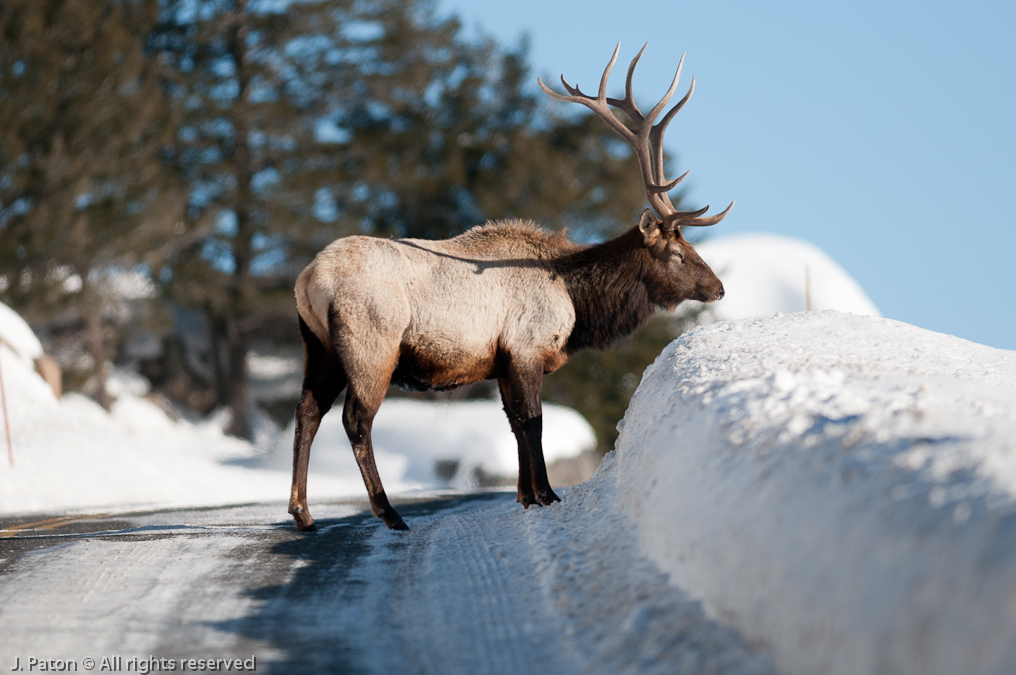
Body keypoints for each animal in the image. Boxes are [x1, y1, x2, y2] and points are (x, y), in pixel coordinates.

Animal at [288, 44, 731, 531]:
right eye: (678, 252)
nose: (718, 288)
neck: (577, 300)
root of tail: (309, 279)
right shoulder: (526, 347)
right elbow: (534, 421)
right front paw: (548, 494)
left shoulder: (500, 359)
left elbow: (516, 423)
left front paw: (526, 496)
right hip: (370, 342)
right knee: (356, 420)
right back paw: (388, 512)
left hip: (319, 346)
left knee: (307, 411)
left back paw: (303, 512)